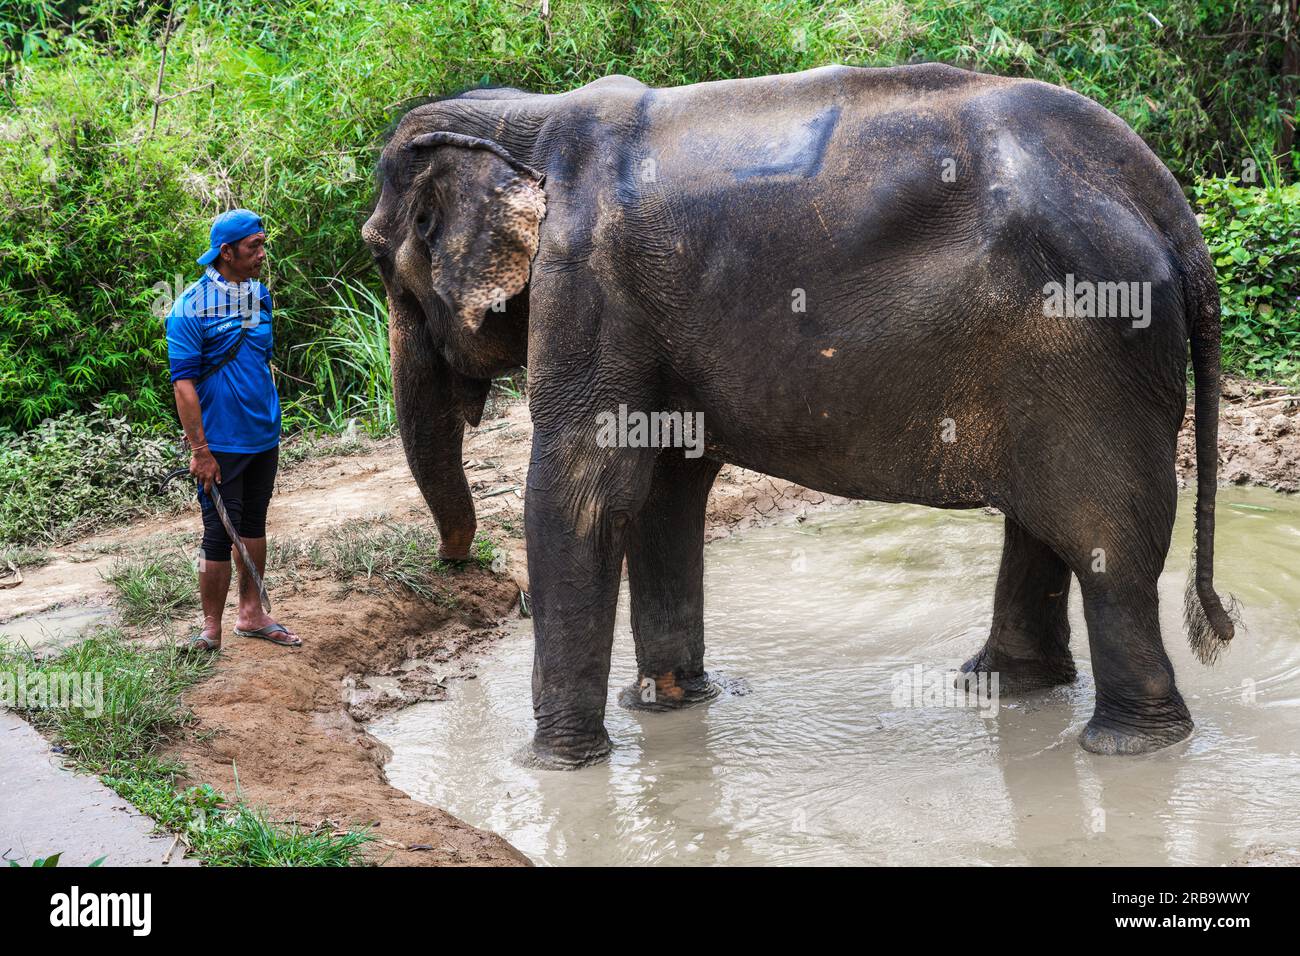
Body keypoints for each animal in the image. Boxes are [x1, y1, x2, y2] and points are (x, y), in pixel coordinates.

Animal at [364, 63, 1237, 770]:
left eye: (380, 254)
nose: (458, 566)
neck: (523, 118)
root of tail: (1164, 200)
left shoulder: (587, 288)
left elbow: (584, 492)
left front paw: (556, 767)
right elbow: (665, 487)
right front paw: (671, 706)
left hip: (1090, 340)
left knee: (1105, 544)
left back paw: (1130, 746)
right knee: (1046, 524)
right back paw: (1002, 688)